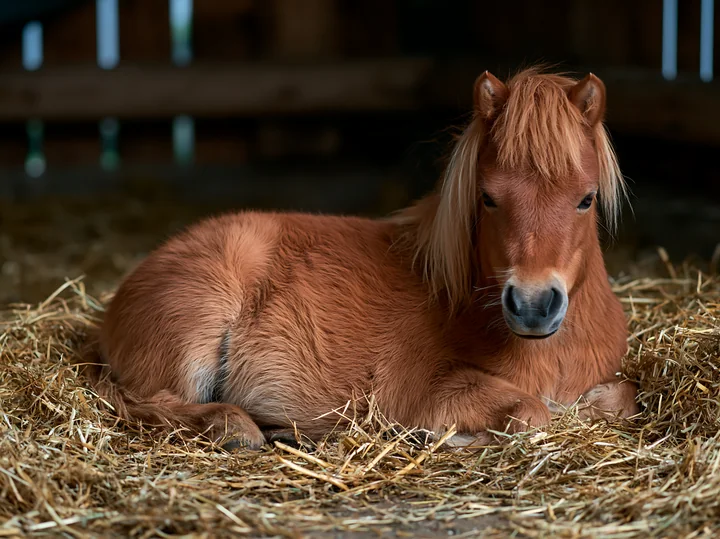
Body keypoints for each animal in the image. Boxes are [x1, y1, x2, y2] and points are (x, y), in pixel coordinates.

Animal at [88, 66, 639, 450]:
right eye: (487, 197)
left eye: (586, 199)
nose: (532, 306)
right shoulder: (429, 390)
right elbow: (530, 413)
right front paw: (441, 437)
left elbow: (622, 397)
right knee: (137, 400)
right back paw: (234, 427)